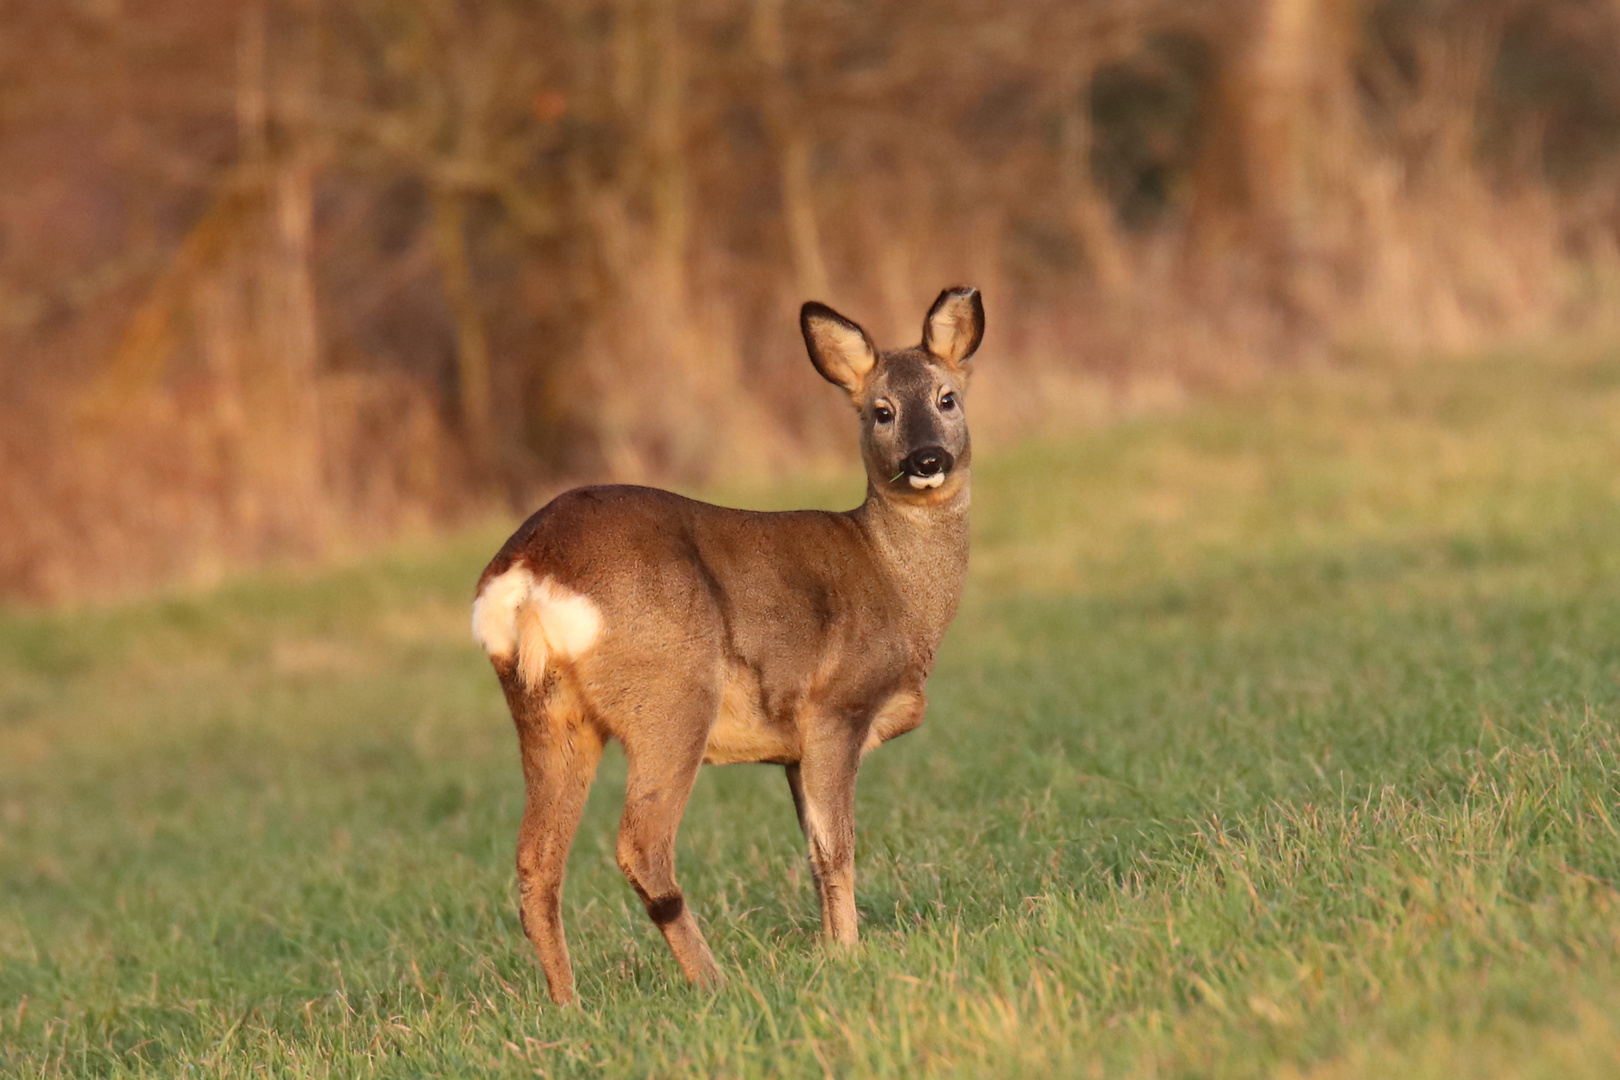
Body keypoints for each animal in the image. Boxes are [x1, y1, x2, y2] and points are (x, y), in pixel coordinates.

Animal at [473, 286, 984, 1003]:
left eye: (947, 399)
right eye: (881, 411)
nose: (927, 460)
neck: (895, 580)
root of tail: (526, 568)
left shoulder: (792, 751)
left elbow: (813, 851)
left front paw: (831, 948)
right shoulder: (837, 707)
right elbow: (838, 847)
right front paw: (849, 953)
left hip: (548, 713)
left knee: (535, 865)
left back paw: (568, 1007)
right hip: (673, 693)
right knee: (640, 844)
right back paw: (713, 981)